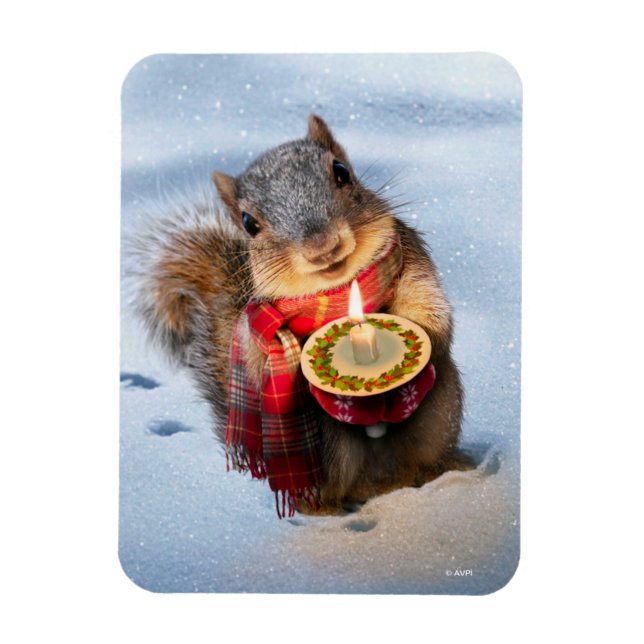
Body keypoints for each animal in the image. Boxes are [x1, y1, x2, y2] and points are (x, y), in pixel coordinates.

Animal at [129, 114, 469, 513]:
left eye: (341, 172)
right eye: (249, 223)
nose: (322, 246)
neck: (339, 292)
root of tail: (378, 480)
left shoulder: (412, 260)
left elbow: (429, 311)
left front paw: (417, 343)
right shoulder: (256, 327)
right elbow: (263, 369)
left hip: (441, 409)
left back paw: (440, 470)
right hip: (323, 448)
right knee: (327, 489)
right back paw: (325, 507)